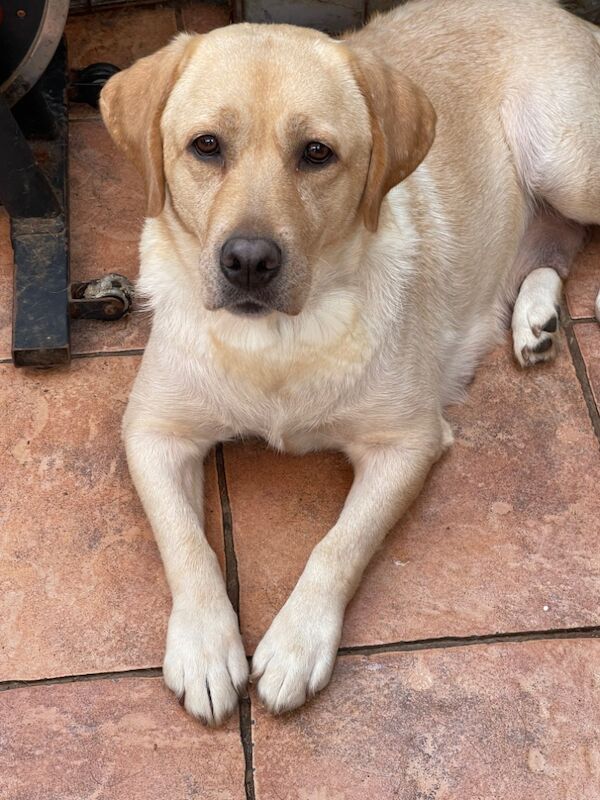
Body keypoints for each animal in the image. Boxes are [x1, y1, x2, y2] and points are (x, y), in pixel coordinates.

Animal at [101, 0, 600, 724]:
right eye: (206, 146)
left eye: (317, 153)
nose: (248, 261)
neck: (279, 345)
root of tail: (562, 14)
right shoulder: (153, 432)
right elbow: (186, 543)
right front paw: (204, 647)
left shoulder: (407, 442)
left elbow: (338, 545)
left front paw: (295, 643)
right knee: (557, 242)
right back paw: (535, 315)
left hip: (567, 163)